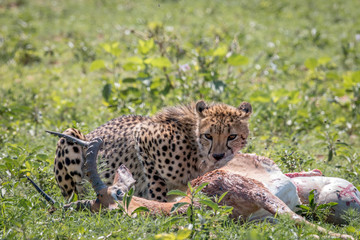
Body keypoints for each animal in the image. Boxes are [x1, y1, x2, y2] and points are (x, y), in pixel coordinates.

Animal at [53, 100, 252, 202]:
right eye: (208, 135)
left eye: (232, 136)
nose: (218, 155)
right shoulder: (142, 136)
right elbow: (157, 184)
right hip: (69, 135)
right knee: (73, 193)